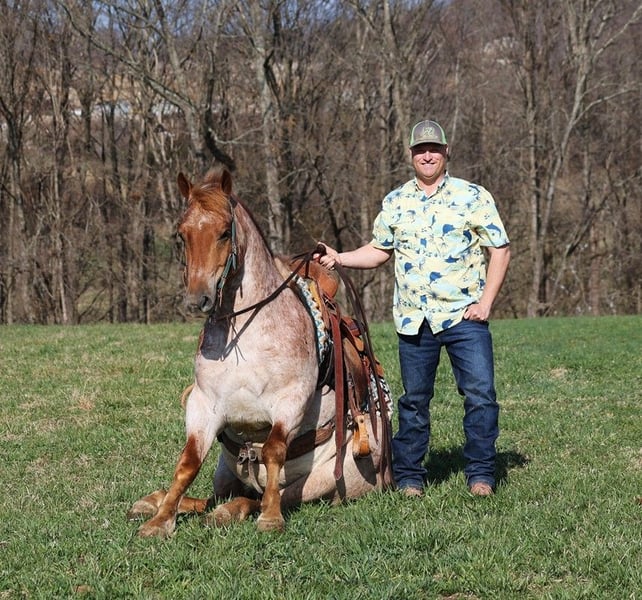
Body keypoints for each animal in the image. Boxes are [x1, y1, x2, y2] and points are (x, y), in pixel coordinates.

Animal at [128, 166, 394, 538]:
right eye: (181, 234)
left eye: (224, 232)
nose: (197, 300)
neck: (244, 335)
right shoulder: (203, 405)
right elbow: (188, 463)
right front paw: (160, 520)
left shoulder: (290, 401)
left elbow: (273, 450)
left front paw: (269, 517)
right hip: (226, 473)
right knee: (211, 497)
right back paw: (155, 502)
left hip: (323, 483)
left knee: (268, 495)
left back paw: (234, 510)